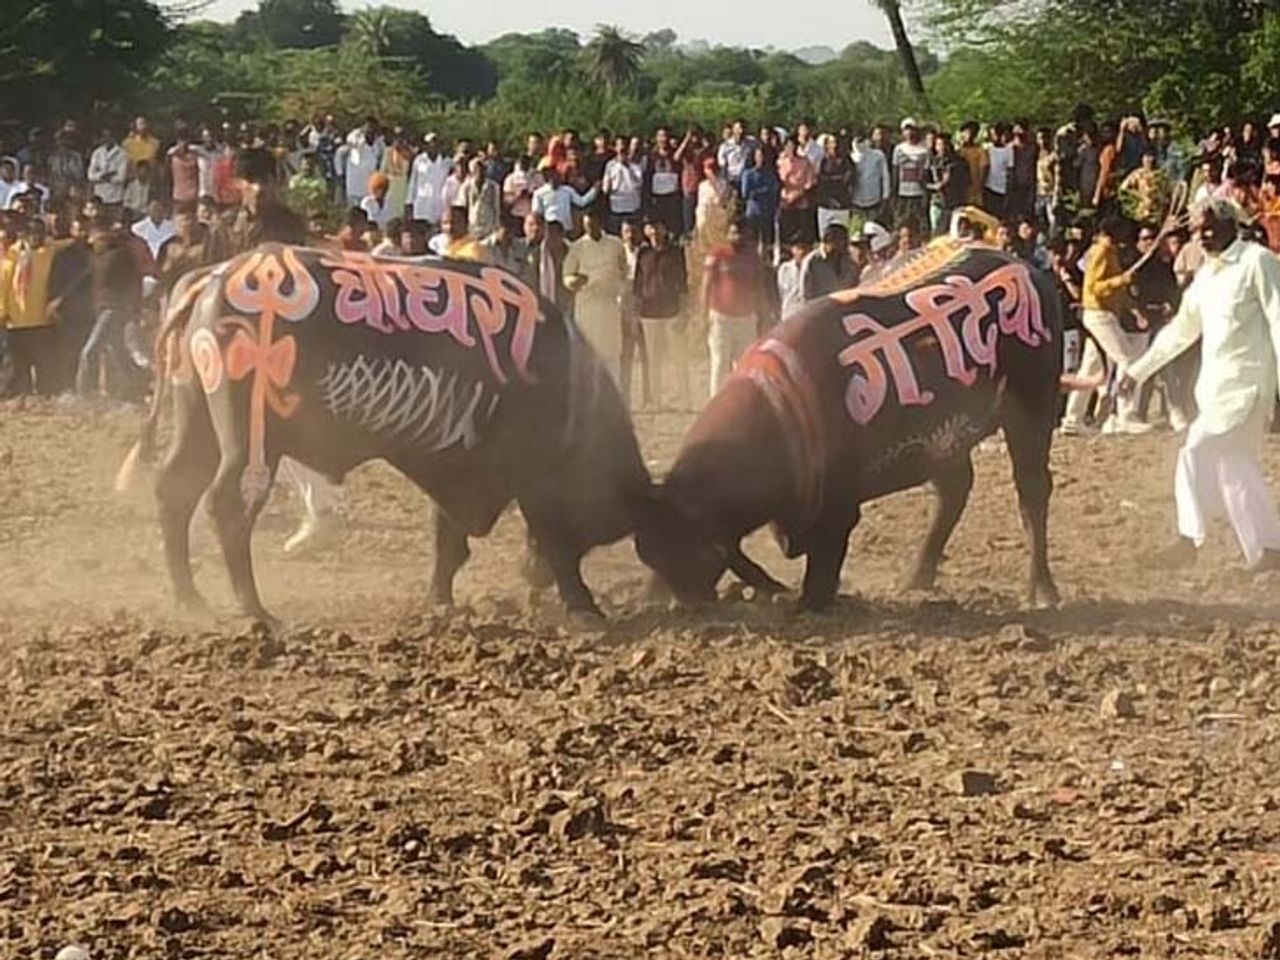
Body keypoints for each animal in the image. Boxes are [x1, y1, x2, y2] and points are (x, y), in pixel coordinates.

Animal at [122, 244, 650, 624]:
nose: (531, 576)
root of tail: (214, 278)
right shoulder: (532, 476)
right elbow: (553, 538)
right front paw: (584, 605)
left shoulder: (457, 463)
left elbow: (448, 541)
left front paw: (441, 600)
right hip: (253, 443)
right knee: (229, 505)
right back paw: (255, 610)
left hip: (199, 424)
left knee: (175, 490)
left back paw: (191, 600)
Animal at [634, 244, 1064, 611]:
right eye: (652, 552)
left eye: (689, 549)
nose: (687, 601)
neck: (784, 408)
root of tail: (1029, 271)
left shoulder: (837, 506)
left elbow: (826, 557)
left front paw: (810, 602)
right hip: (945, 440)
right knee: (954, 490)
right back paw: (916, 578)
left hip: (1032, 411)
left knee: (1032, 493)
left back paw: (1042, 590)